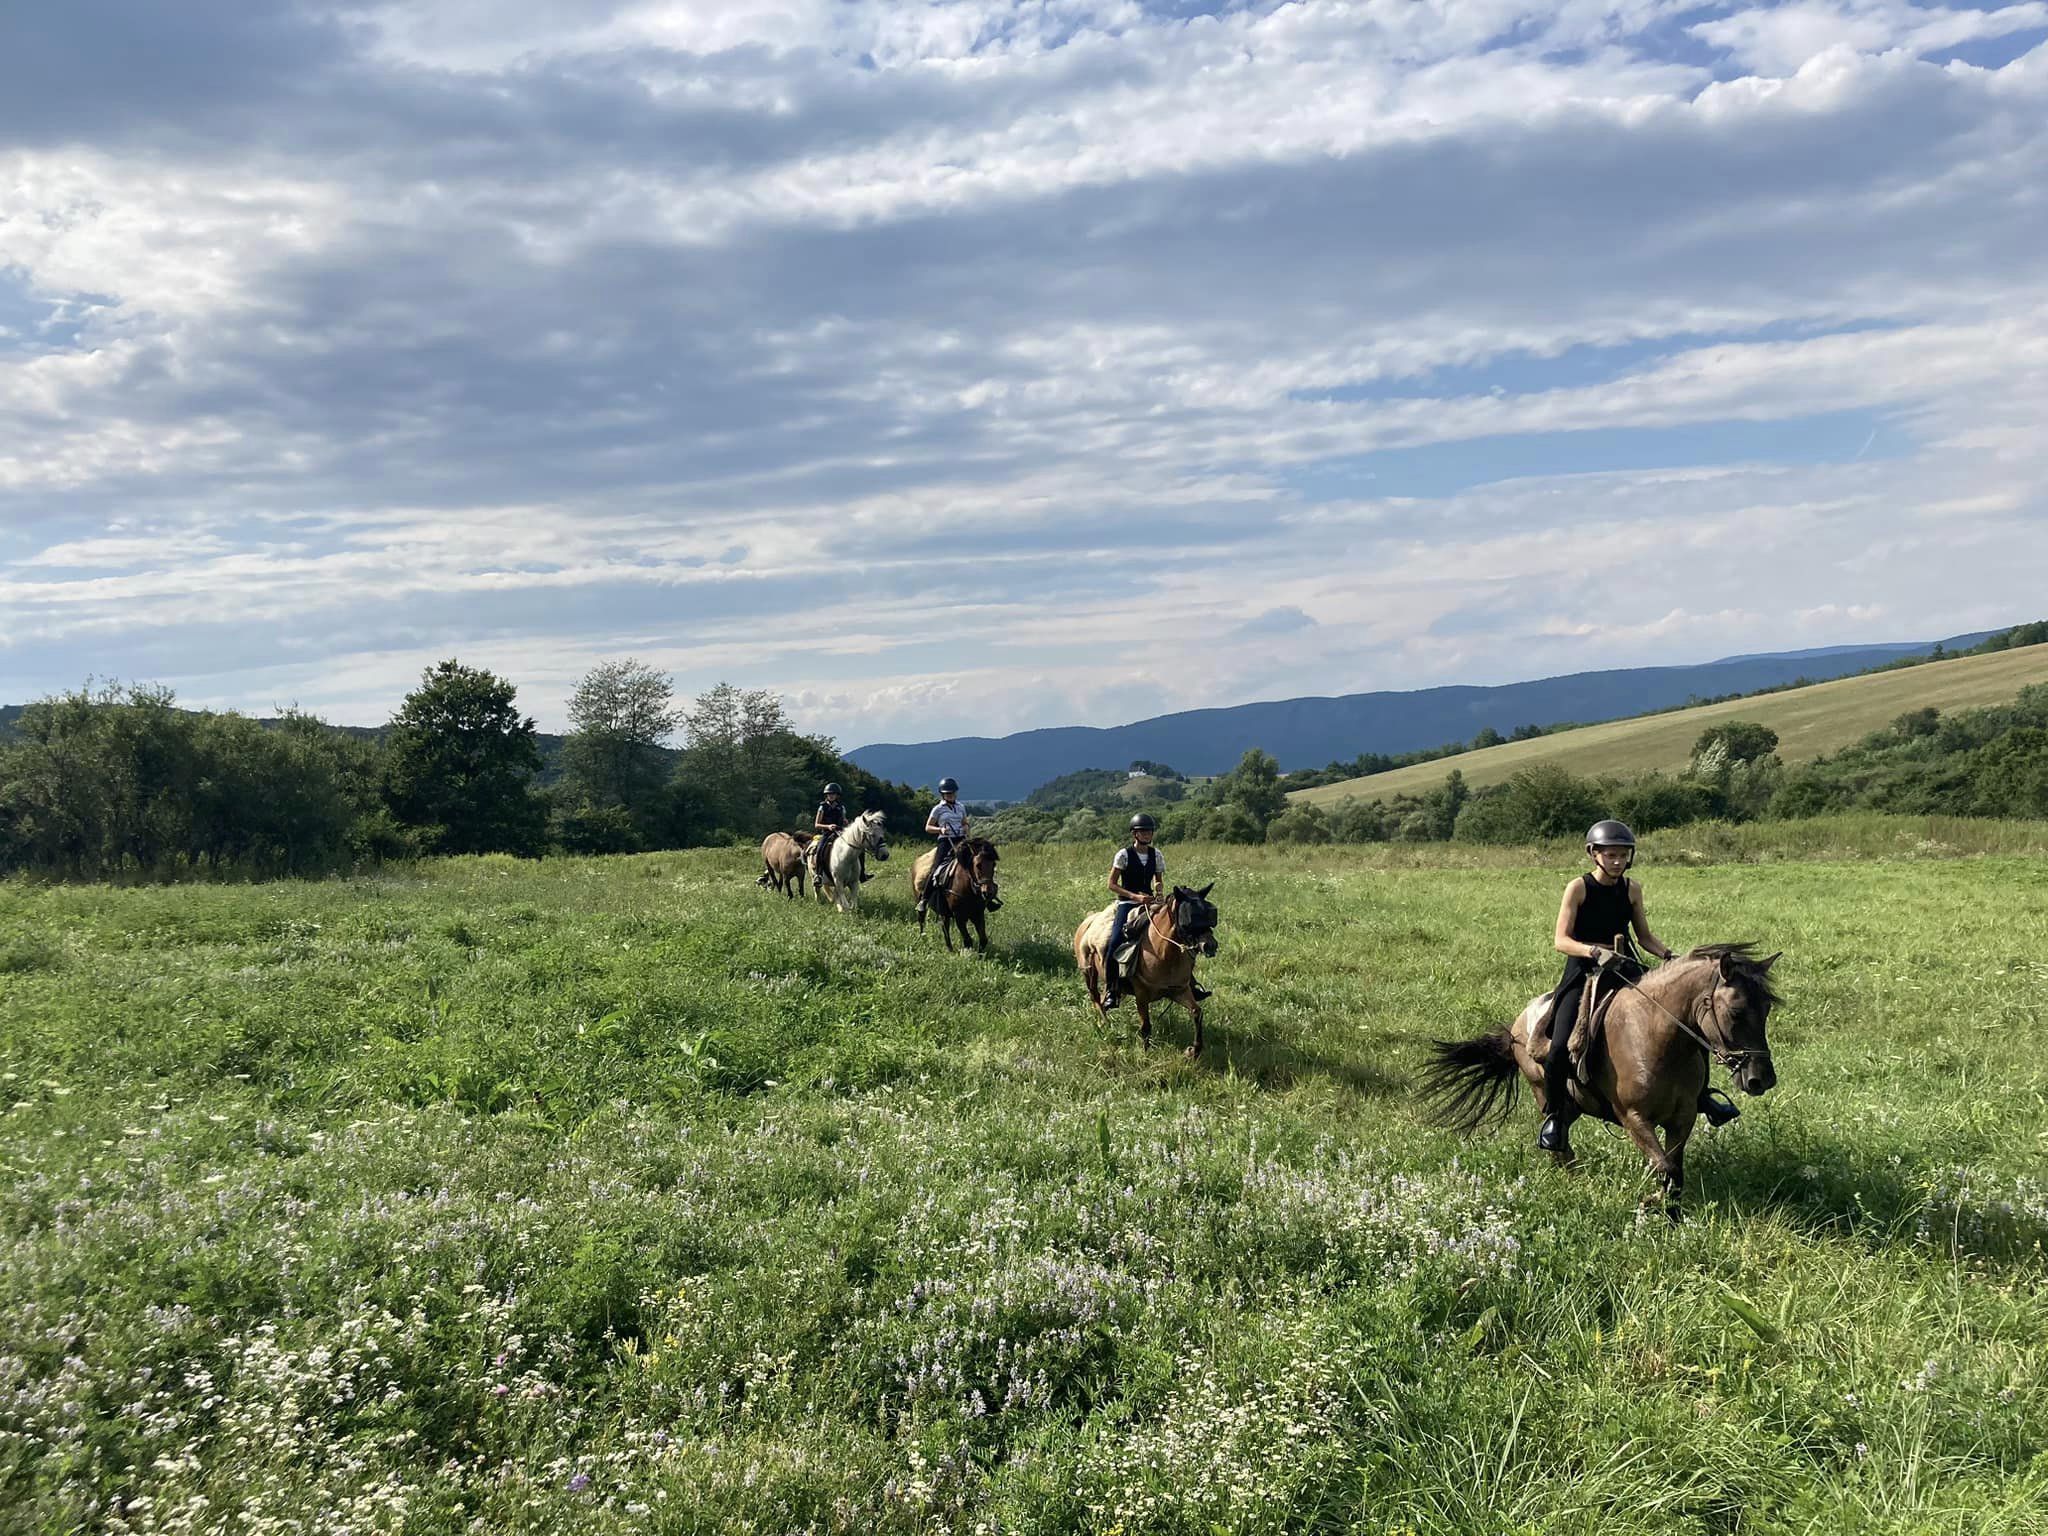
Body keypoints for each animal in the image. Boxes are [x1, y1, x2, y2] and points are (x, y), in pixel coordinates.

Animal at [1073, 888, 1212, 1056]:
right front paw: (1146, 1055)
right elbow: (1146, 1026)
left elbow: (1197, 1012)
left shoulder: (1180, 991)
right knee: (1095, 999)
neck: (1162, 952)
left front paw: (1193, 1051)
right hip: (1088, 972)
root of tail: (1088, 921)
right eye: (1188, 918)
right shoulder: (1141, 995)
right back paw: (1106, 1025)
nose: (1211, 945)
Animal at [1425, 946, 1777, 1220]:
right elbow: (1665, 1167)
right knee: (1557, 1137)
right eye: (1736, 1012)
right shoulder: (1634, 1117)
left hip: (1575, 1104)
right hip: (1543, 1091)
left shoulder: (1683, 1117)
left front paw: (1672, 1215)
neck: (1656, 1036)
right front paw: (1649, 1203)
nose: (1762, 1079)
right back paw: (1569, 1177)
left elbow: (1675, 1172)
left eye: (1767, 1010)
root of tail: (1518, 1023)